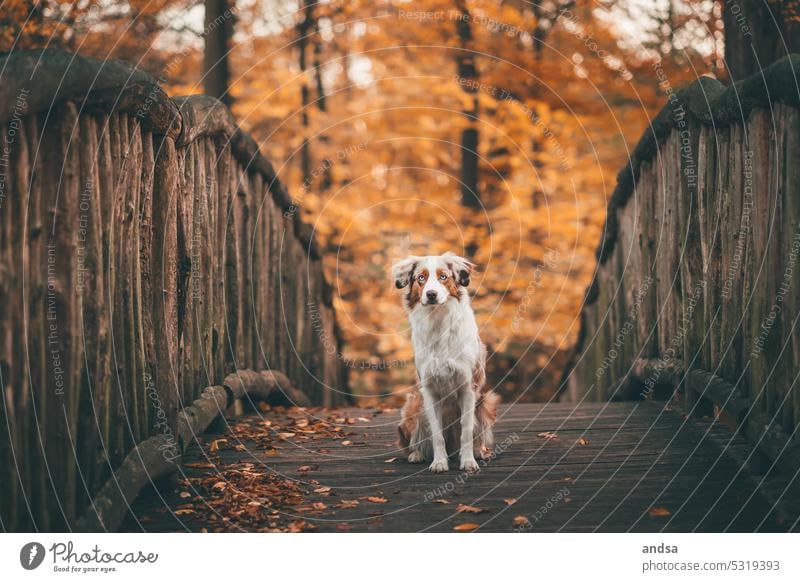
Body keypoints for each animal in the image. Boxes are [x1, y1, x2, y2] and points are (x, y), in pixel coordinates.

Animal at [392, 253, 496, 472]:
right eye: (421, 278)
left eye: (443, 277)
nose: (431, 294)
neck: (438, 321)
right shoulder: (429, 389)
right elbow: (437, 433)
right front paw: (439, 462)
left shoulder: (468, 387)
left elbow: (466, 429)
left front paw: (468, 462)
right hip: (413, 406)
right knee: (410, 443)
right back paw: (416, 454)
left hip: (486, 403)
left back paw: (479, 452)